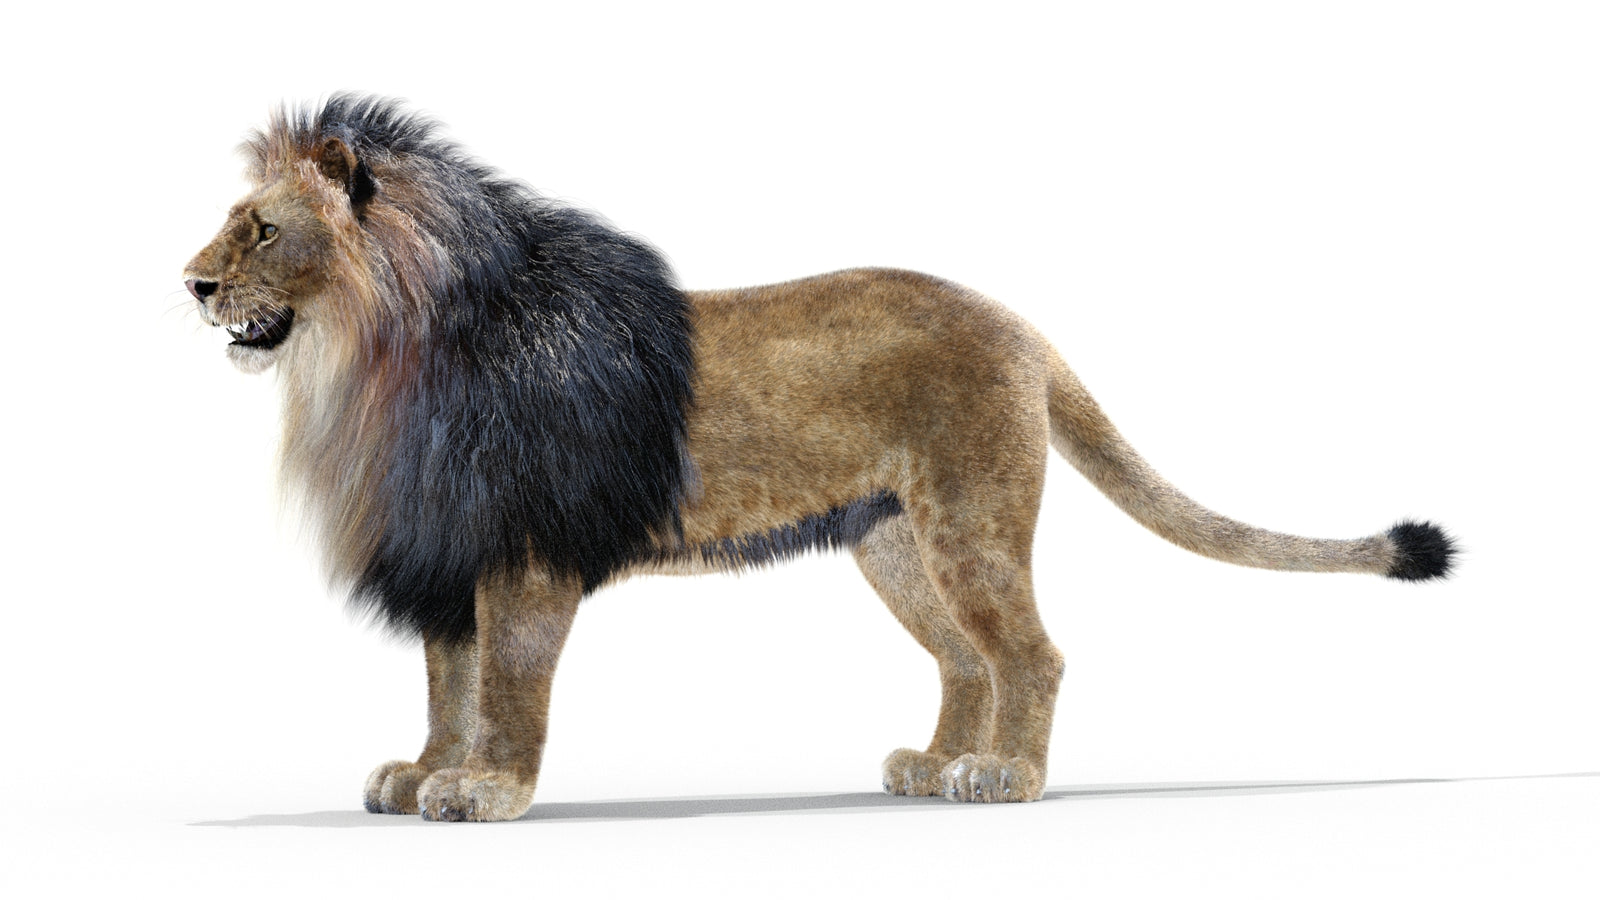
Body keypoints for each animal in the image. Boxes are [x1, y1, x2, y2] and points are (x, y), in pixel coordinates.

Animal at [183, 94, 1455, 822]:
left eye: (261, 228)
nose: (190, 284)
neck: (370, 363)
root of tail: (1021, 324)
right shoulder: (446, 551)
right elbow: (446, 685)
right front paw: (418, 774)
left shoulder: (525, 556)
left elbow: (506, 690)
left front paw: (486, 791)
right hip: (894, 543)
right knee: (967, 661)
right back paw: (936, 766)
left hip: (968, 522)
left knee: (1032, 654)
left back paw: (1005, 780)